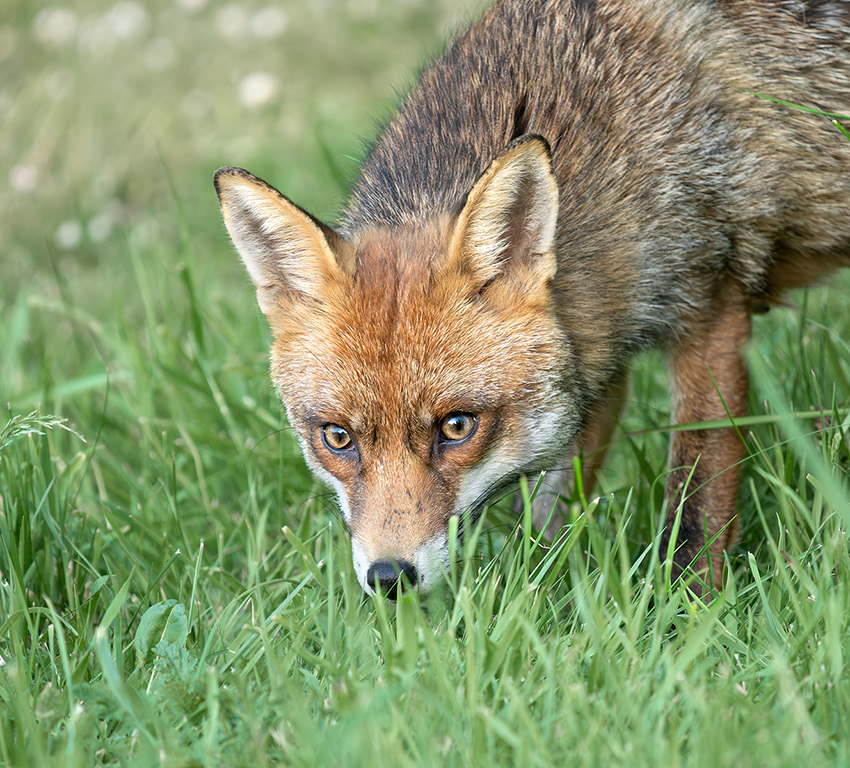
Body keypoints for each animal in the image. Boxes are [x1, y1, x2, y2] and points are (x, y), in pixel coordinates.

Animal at [215, 0, 850, 597]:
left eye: (457, 426)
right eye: (337, 438)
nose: (390, 578)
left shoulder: (710, 308)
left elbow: (695, 505)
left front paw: (688, 611)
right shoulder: (594, 351)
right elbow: (548, 506)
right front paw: (540, 591)